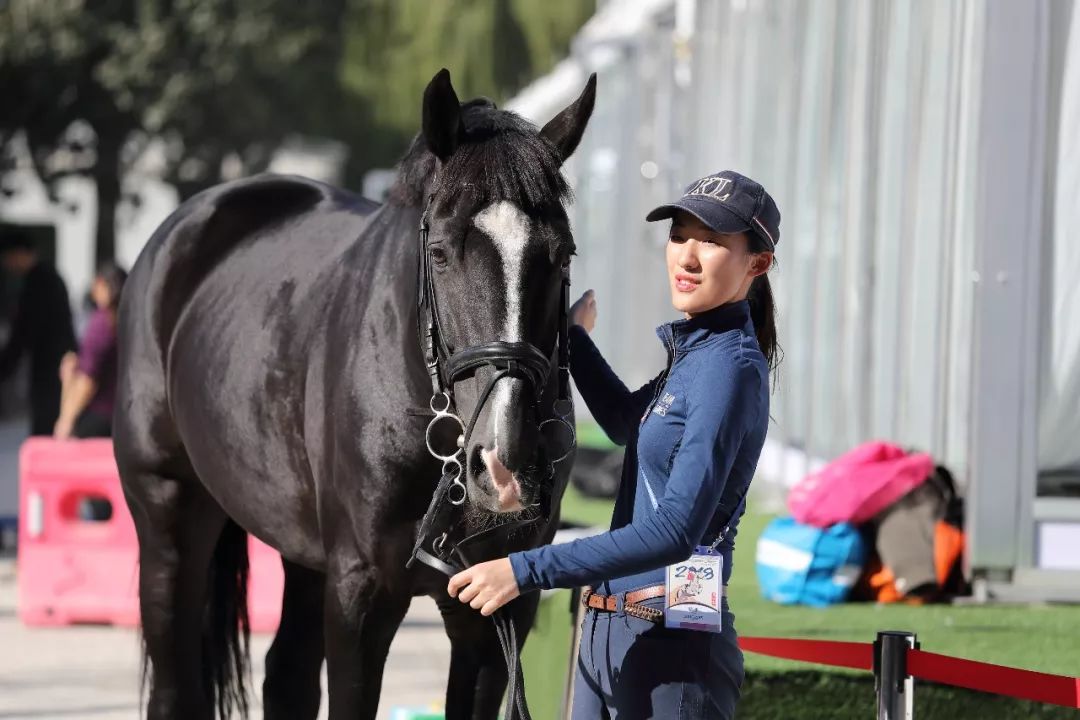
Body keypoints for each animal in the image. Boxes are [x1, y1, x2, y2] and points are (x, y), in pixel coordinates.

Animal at [118, 69, 600, 720]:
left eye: (562, 253)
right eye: (440, 251)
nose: (505, 463)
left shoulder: (499, 606)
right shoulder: (361, 593)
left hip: (303, 551)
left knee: (287, 676)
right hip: (169, 515)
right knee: (175, 686)